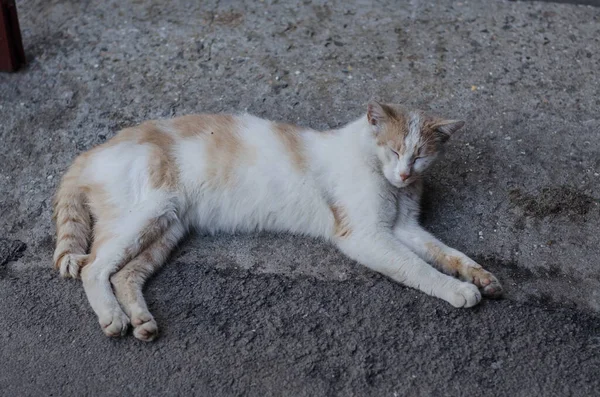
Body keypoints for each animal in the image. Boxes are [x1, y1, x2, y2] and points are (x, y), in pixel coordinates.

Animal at [52, 102, 502, 340]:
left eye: (420, 156)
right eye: (393, 151)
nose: (406, 174)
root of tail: (90, 151)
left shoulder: (405, 228)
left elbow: (448, 253)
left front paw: (480, 277)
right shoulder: (367, 235)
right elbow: (418, 268)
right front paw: (458, 291)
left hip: (166, 226)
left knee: (124, 273)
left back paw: (141, 322)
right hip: (146, 213)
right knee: (94, 266)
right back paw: (113, 318)